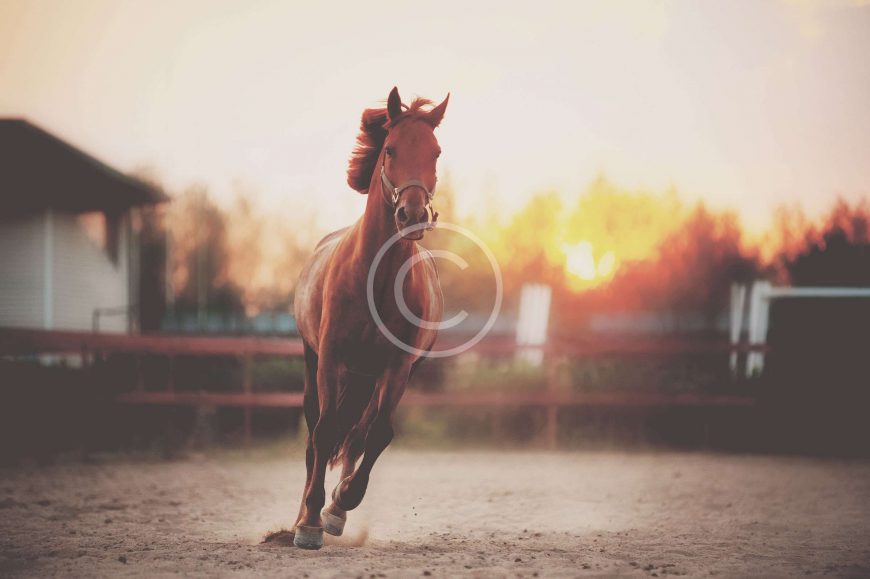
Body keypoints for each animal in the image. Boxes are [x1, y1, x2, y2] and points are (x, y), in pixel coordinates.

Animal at [290, 87, 449, 549]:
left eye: (435, 152)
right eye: (391, 148)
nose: (412, 215)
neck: (376, 278)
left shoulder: (397, 368)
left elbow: (376, 434)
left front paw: (341, 502)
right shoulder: (330, 358)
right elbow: (325, 431)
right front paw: (309, 523)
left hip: (373, 376)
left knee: (358, 434)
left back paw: (336, 507)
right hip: (314, 362)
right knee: (315, 438)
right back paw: (301, 513)